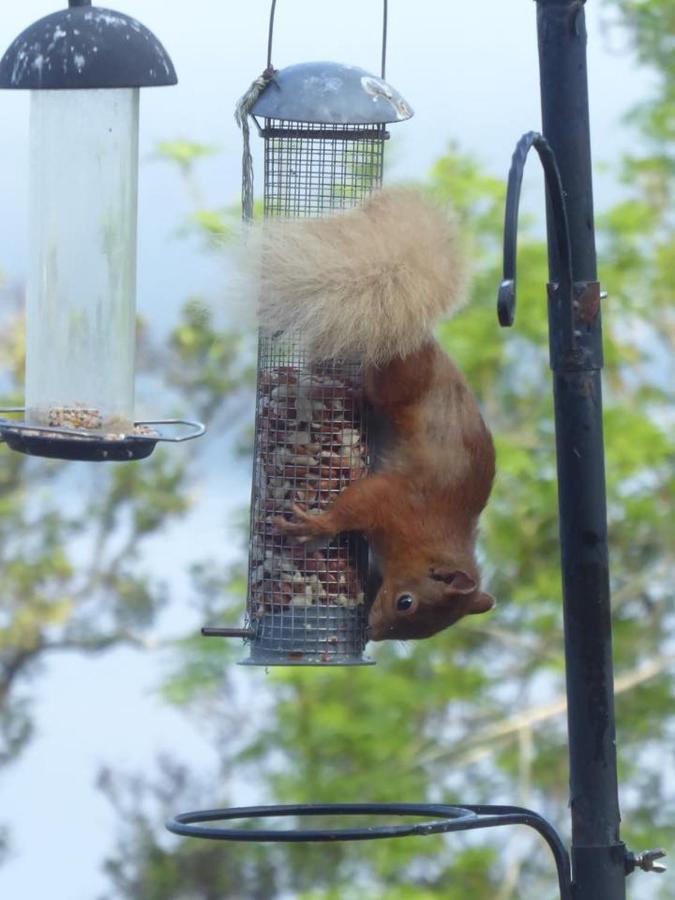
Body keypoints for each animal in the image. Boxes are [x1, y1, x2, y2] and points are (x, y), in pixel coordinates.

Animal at [247, 188, 496, 640]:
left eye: (422, 632)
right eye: (406, 602)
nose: (375, 633)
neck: (429, 542)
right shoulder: (395, 503)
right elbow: (357, 503)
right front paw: (319, 527)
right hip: (393, 380)